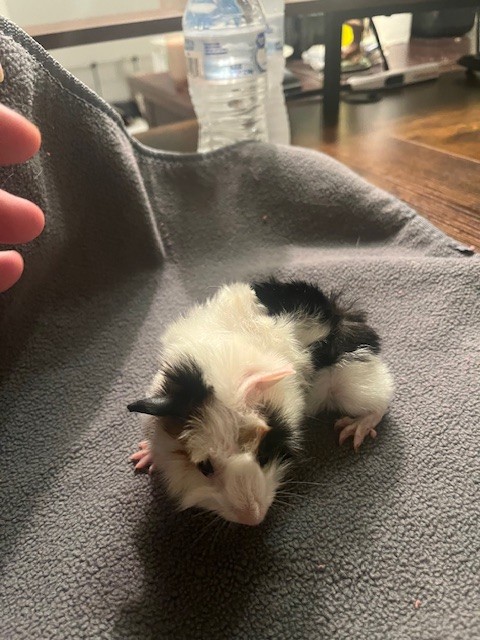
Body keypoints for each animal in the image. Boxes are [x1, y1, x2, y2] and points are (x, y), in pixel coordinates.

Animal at [128, 278, 394, 526]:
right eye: (205, 467)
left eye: (264, 455)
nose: (252, 518)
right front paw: (141, 458)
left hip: (352, 387)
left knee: (381, 402)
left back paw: (351, 432)